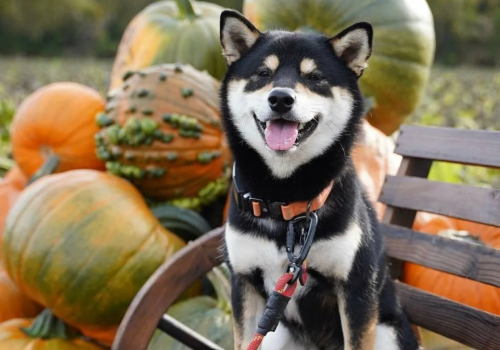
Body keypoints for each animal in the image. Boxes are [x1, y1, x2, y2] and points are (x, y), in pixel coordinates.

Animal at [221, 8, 420, 350]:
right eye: (263, 73)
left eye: (314, 77)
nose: (280, 98)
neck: (284, 199)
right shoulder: (243, 281)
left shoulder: (355, 289)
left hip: (387, 331)